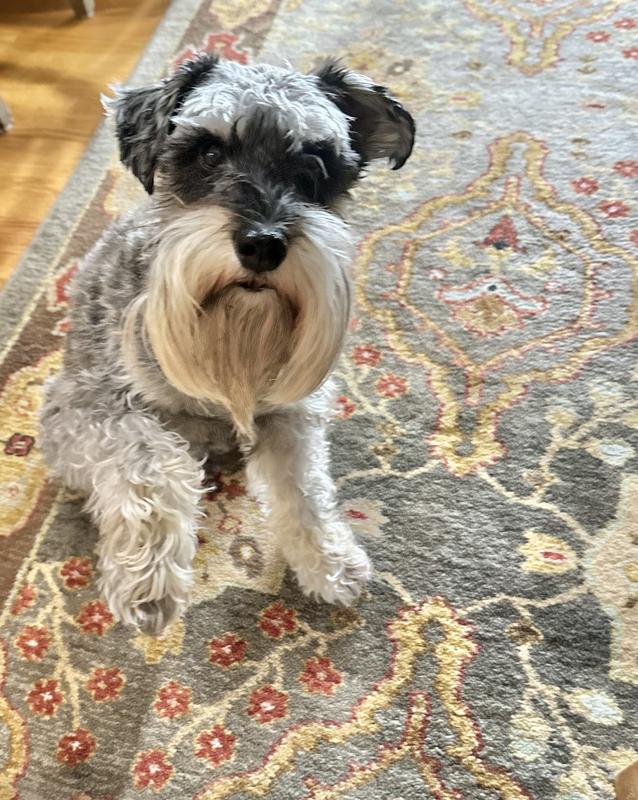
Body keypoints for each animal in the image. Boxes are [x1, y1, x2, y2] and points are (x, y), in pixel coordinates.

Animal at [40, 54, 415, 634]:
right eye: (208, 152)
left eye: (316, 164)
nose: (263, 244)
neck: (231, 335)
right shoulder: (80, 411)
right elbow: (148, 456)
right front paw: (150, 579)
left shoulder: (292, 410)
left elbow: (304, 486)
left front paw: (329, 560)